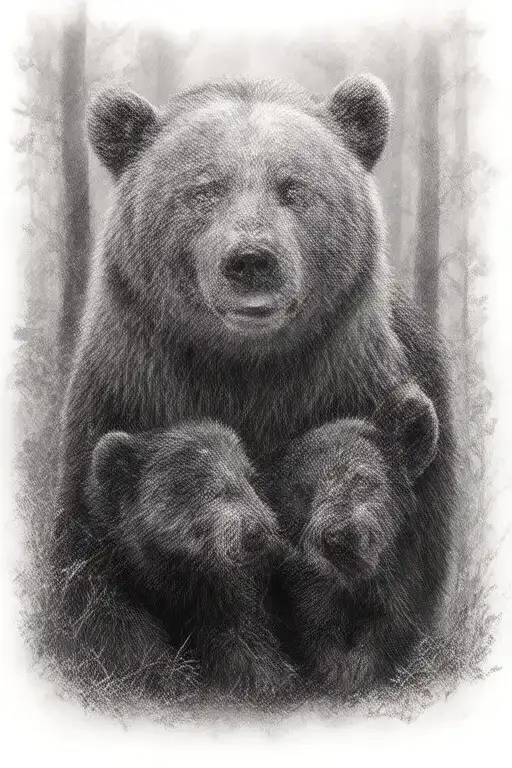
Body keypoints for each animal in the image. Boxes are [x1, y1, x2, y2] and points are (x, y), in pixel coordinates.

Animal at [86, 421, 298, 700]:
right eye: (213, 488)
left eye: (251, 480)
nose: (259, 530)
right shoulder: (106, 595)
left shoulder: (224, 603)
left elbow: (248, 649)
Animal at [266, 382, 439, 697]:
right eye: (301, 492)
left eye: (361, 478)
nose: (336, 535)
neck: (354, 583)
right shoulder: (309, 591)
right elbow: (316, 628)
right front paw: (336, 673)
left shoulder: (399, 583)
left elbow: (388, 626)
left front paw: (358, 672)